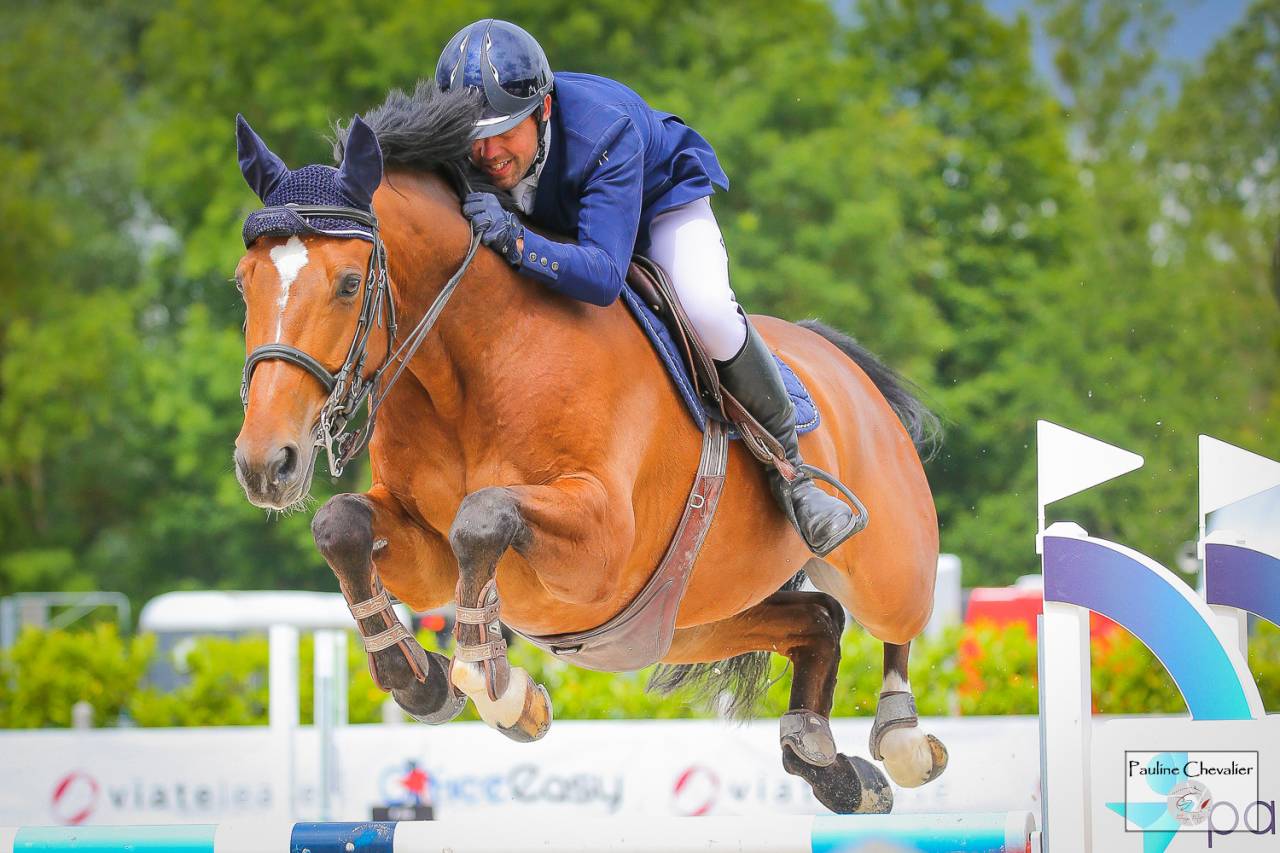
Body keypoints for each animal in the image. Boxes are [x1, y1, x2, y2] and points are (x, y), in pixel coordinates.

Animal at [231, 85, 946, 815]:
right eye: (243, 281)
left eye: (350, 283)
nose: (266, 464)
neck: (468, 364)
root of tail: (847, 365)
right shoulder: (423, 550)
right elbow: (341, 524)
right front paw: (423, 679)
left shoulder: (602, 539)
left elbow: (484, 516)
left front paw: (495, 686)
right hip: (689, 619)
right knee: (820, 620)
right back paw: (829, 763)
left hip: (884, 564)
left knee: (896, 620)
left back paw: (901, 738)